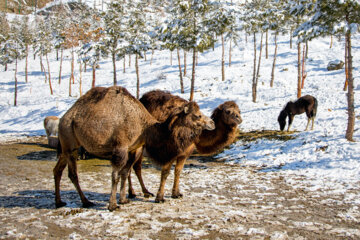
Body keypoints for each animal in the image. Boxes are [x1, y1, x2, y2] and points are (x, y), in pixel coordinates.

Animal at [53, 86, 214, 210]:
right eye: (197, 115)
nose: (212, 122)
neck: (145, 128)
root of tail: (63, 119)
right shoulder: (120, 148)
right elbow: (116, 176)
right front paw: (113, 205)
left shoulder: (131, 149)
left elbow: (125, 173)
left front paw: (124, 200)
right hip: (69, 139)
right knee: (73, 174)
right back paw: (86, 201)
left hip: (69, 146)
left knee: (58, 170)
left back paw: (59, 202)